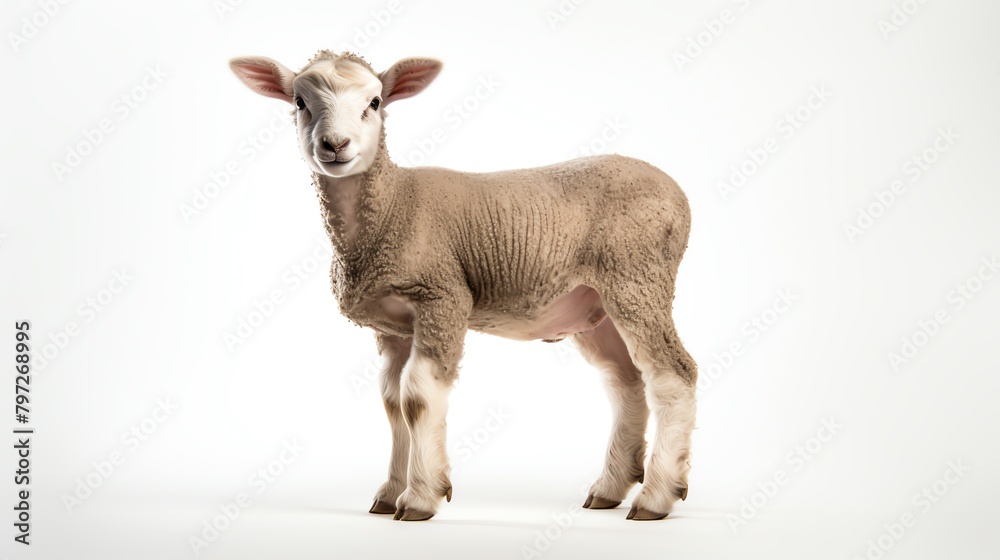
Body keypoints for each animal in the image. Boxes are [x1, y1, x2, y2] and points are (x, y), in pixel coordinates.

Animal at [229, 51, 697, 521]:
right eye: (300, 103)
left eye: (375, 102)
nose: (335, 145)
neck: (392, 205)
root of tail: (677, 192)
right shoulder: (393, 328)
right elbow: (392, 402)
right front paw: (389, 493)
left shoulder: (442, 298)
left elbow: (418, 397)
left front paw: (420, 496)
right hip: (595, 306)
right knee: (627, 380)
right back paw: (610, 488)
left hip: (637, 279)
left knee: (673, 374)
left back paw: (655, 497)